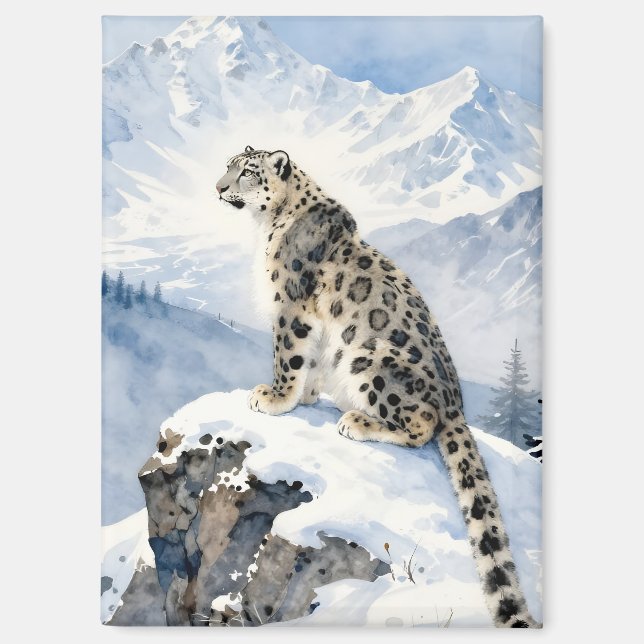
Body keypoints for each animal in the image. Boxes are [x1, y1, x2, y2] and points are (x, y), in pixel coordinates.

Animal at [216, 146, 539, 628]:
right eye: (228, 165)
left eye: (248, 172)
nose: (218, 187)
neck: (267, 224)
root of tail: (456, 402)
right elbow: (310, 361)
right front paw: (304, 395)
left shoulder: (291, 305)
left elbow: (288, 355)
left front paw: (275, 397)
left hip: (371, 361)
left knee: (422, 425)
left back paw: (358, 421)